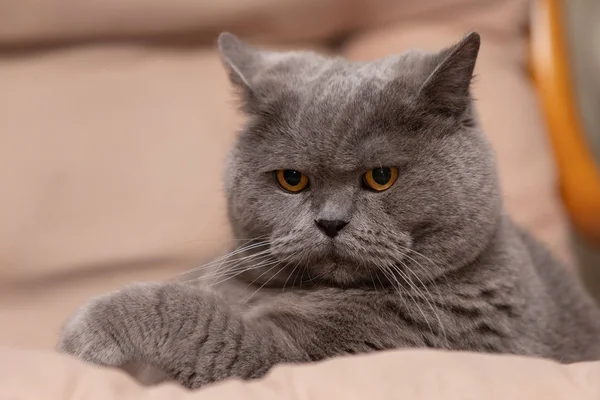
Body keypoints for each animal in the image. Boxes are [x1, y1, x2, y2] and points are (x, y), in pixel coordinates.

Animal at [56, 31, 600, 388]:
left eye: (381, 177)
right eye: (291, 179)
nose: (331, 222)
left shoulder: (308, 357)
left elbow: (199, 314)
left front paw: (85, 331)